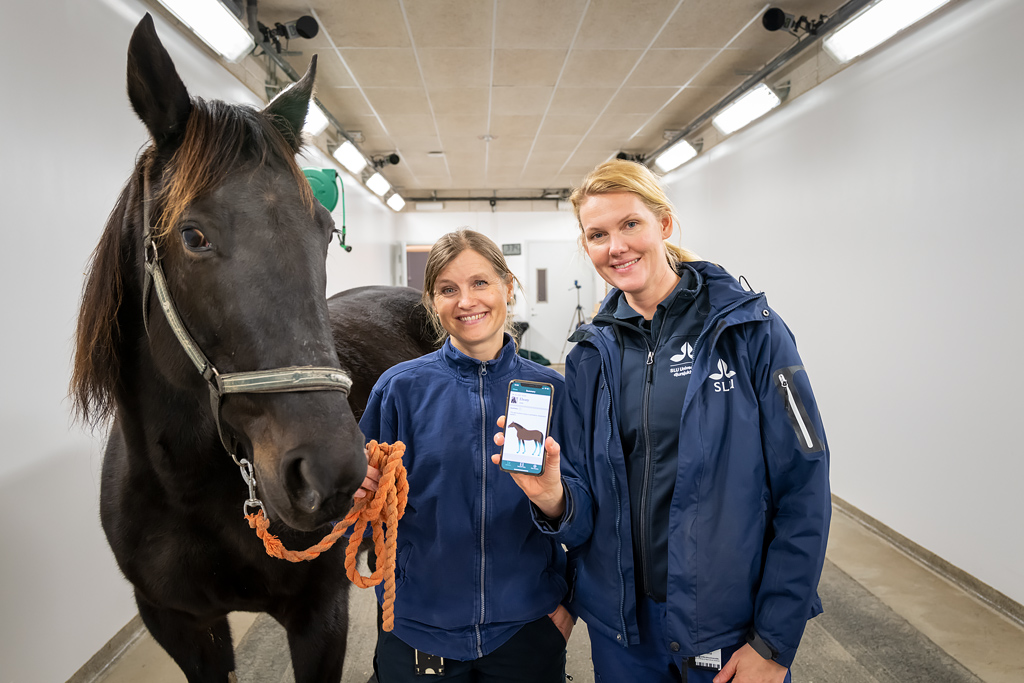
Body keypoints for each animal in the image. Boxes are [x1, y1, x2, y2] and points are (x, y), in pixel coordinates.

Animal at [72, 15, 432, 683]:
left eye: (324, 229)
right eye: (193, 236)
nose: (329, 471)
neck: (185, 485)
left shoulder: (320, 615)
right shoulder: (179, 624)